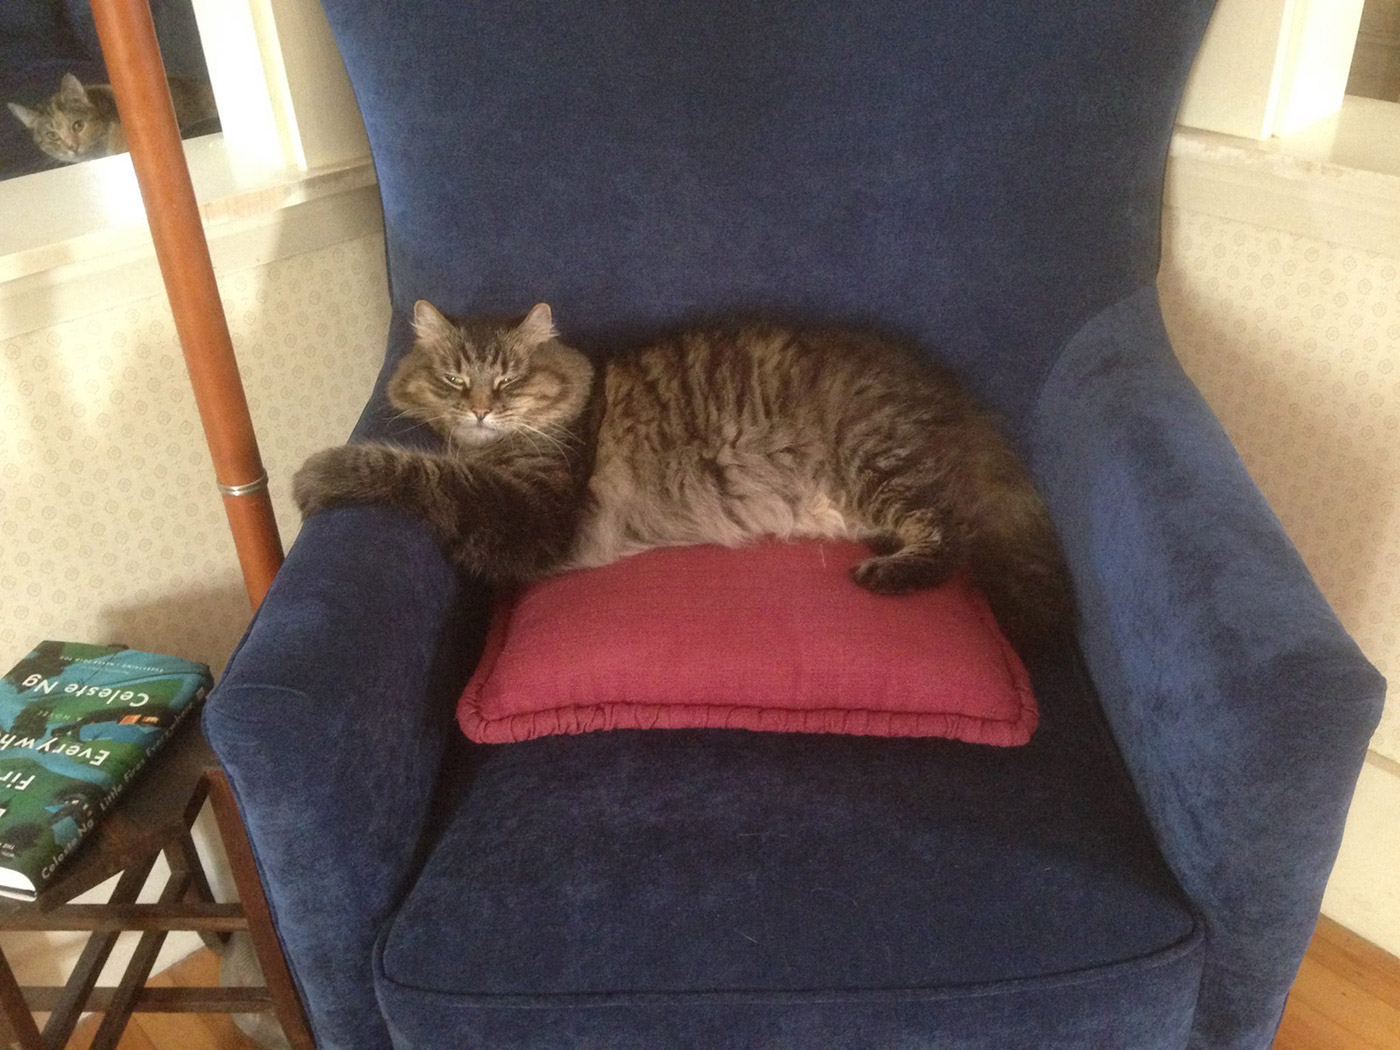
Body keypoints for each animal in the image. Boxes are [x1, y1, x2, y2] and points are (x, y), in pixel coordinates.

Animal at [295, 299, 1075, 655]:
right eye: (455, 381)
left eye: (509, 379)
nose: (483, 408)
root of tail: (953, 393)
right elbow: (433, 463)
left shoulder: (531, 514)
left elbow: (421, 472)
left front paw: (318, 469)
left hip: (876, 460)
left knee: (951, 534)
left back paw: (885, 574)